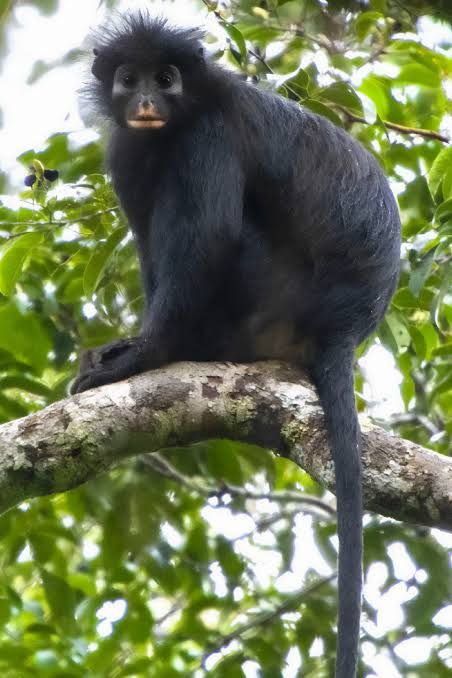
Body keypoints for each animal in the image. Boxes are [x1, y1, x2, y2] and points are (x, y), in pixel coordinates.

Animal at [71, 12, 401, 678]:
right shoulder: (128, 150)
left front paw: (144, 355)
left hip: (267, 295)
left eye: (166, 78)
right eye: (129, 78)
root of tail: (345, 326)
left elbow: (209, 238)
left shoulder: (208, 136)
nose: (146, 102)